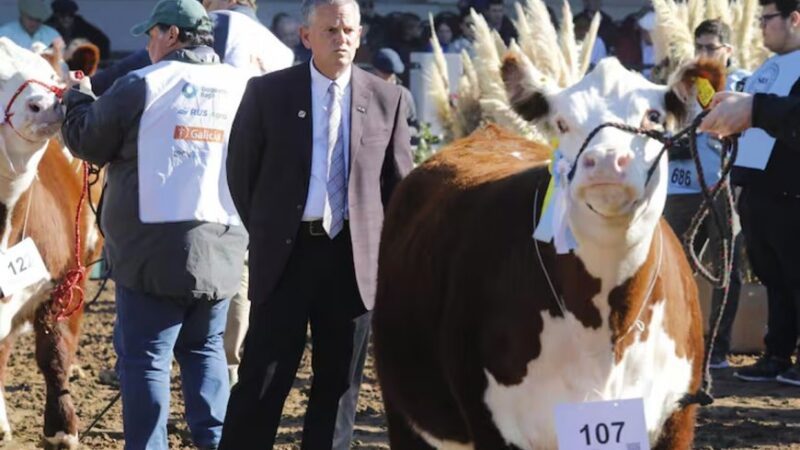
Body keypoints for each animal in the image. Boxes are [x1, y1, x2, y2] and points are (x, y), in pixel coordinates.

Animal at [372, 57, 720, 450]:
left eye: (653, 116)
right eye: (562, 122)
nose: (605, 161)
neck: (605, 327)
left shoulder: (677, 416)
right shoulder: (494, 424)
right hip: (404, 412)